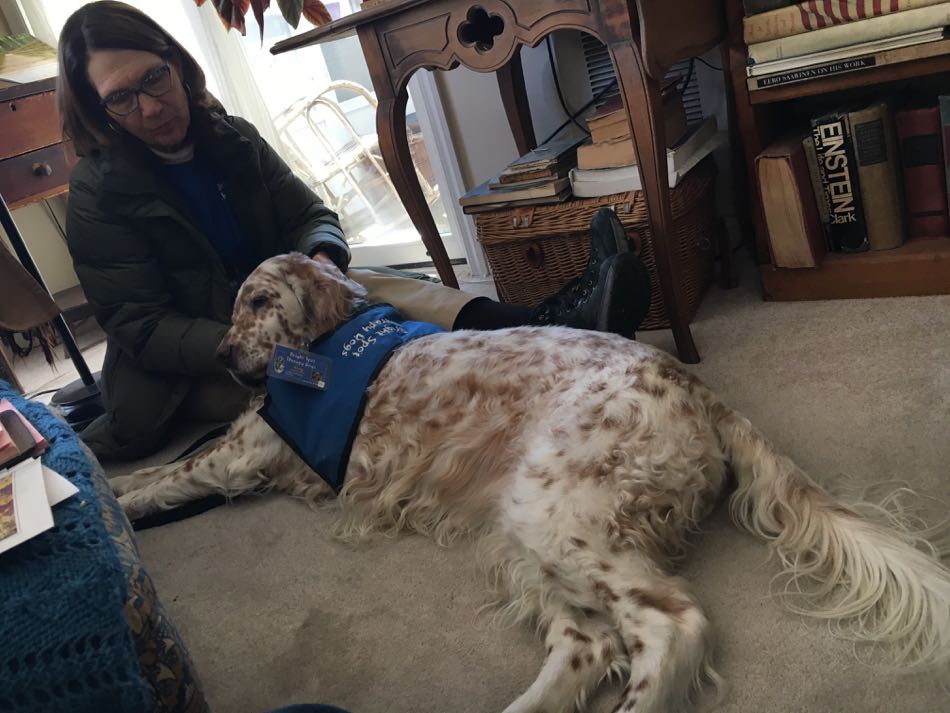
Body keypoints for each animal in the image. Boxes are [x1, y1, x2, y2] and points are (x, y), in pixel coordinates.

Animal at [117, 253, 950, 708]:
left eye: (260, 301)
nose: (221, 357)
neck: (323, 341)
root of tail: (700, 391)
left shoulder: (235, 455)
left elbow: (153, 479)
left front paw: (107, 501)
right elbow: (153, 472)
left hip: (553, 512)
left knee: (668, 625)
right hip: (524, 531)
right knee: (589, 641)